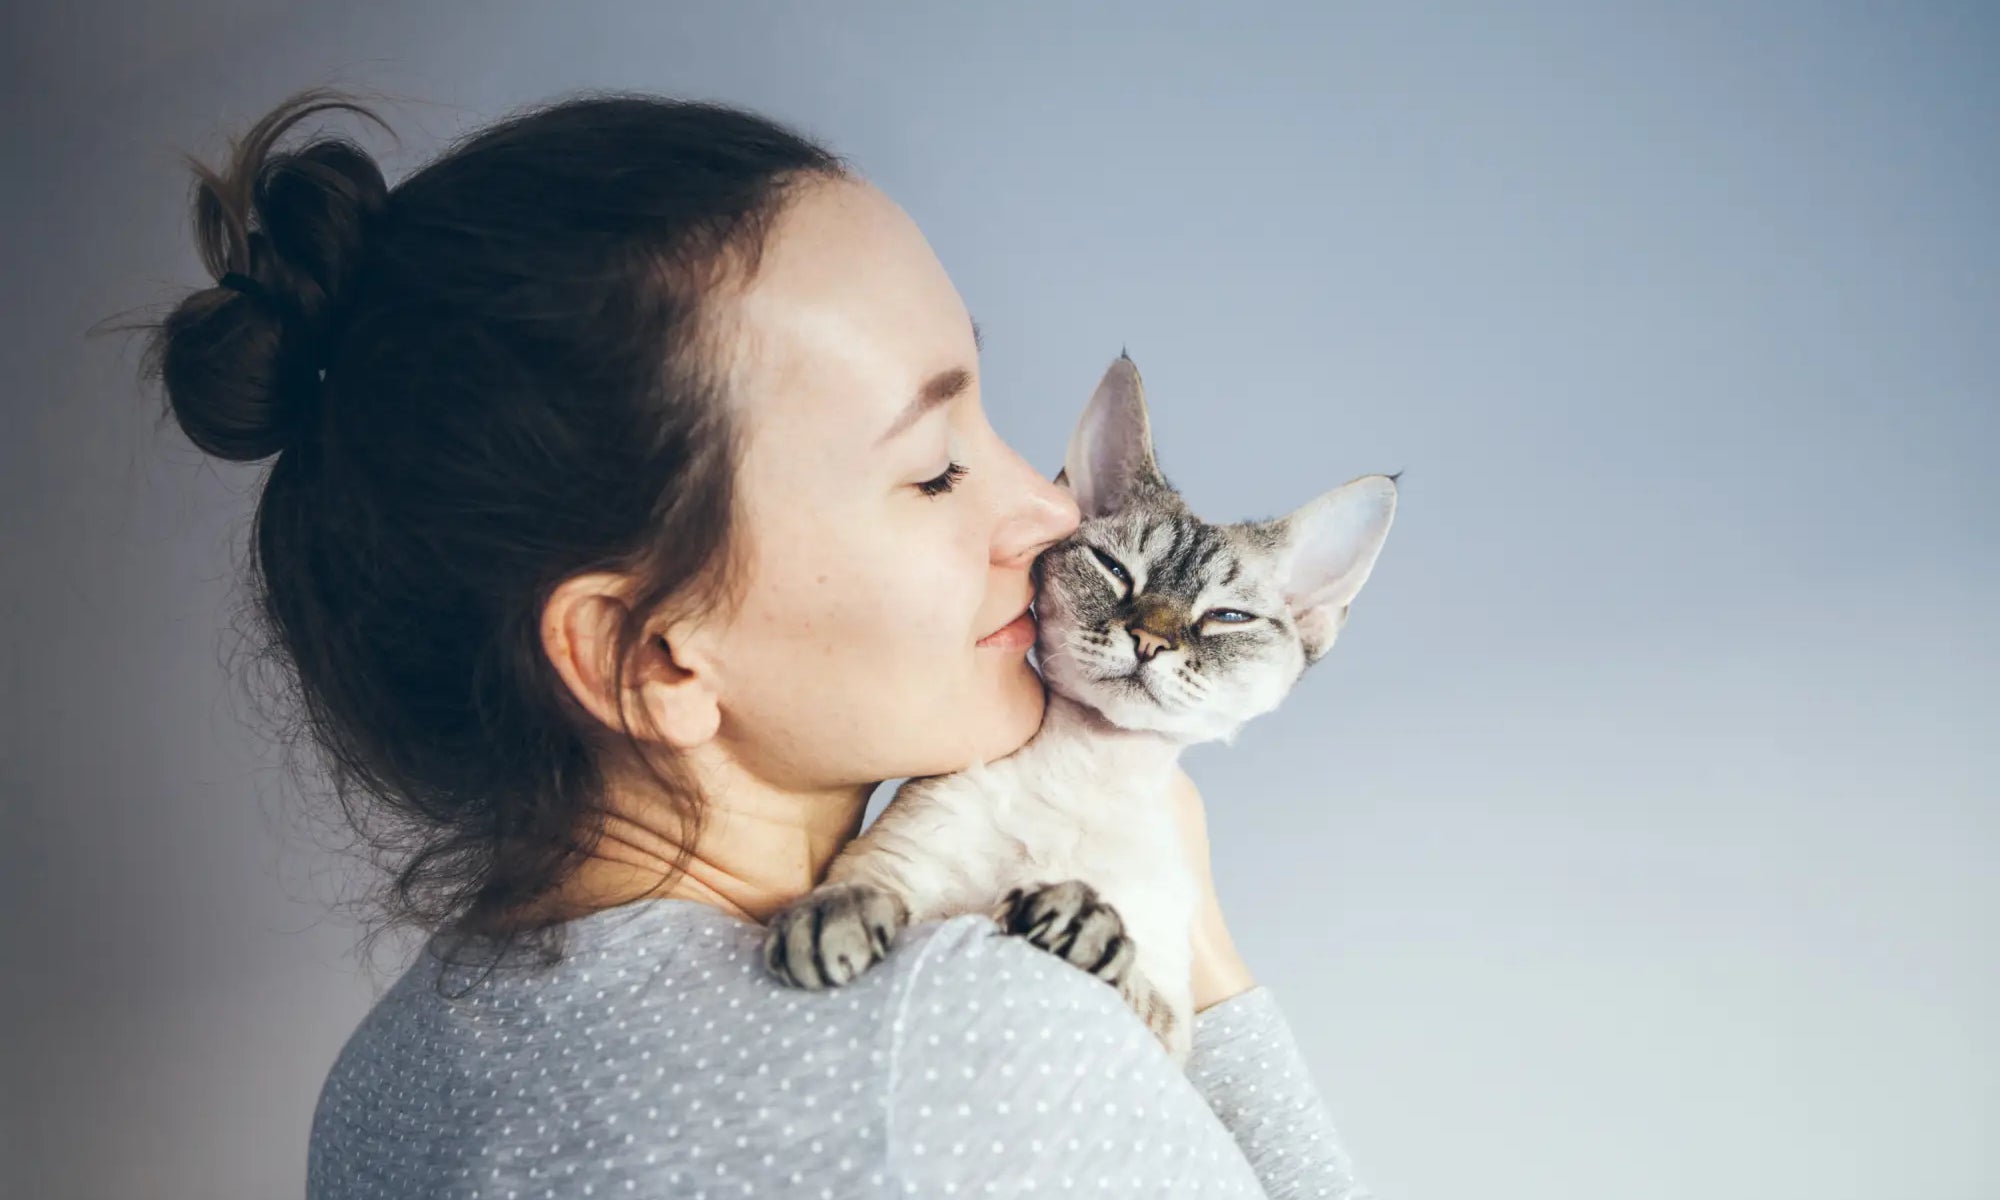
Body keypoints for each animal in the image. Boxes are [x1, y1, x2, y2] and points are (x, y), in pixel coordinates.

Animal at [756, 352, 1400, 1064]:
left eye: (1226, 618)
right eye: (1116, 571)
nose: (1149, 640)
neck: (1089, 769)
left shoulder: (1169, 1026)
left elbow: (1130, 974)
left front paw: (1079, 920)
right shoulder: (896, 860)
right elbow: (867, 887)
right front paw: (831, 918)